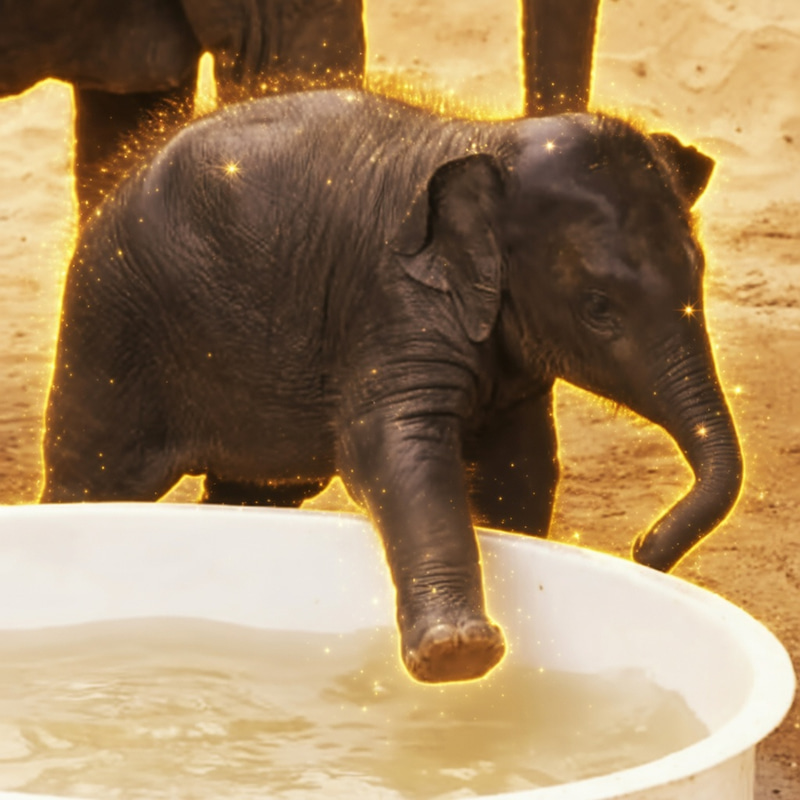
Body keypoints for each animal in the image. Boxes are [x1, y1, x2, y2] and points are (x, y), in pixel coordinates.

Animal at [40, 88, 742, 683]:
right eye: (598, 307)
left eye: (700, 272)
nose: (644, 547)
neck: (489, 139)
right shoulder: (394, 304)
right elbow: (393, 449)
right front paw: (458, 655)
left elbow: (521, 465)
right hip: (111, 323)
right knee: (94, 478)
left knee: (259, 490)